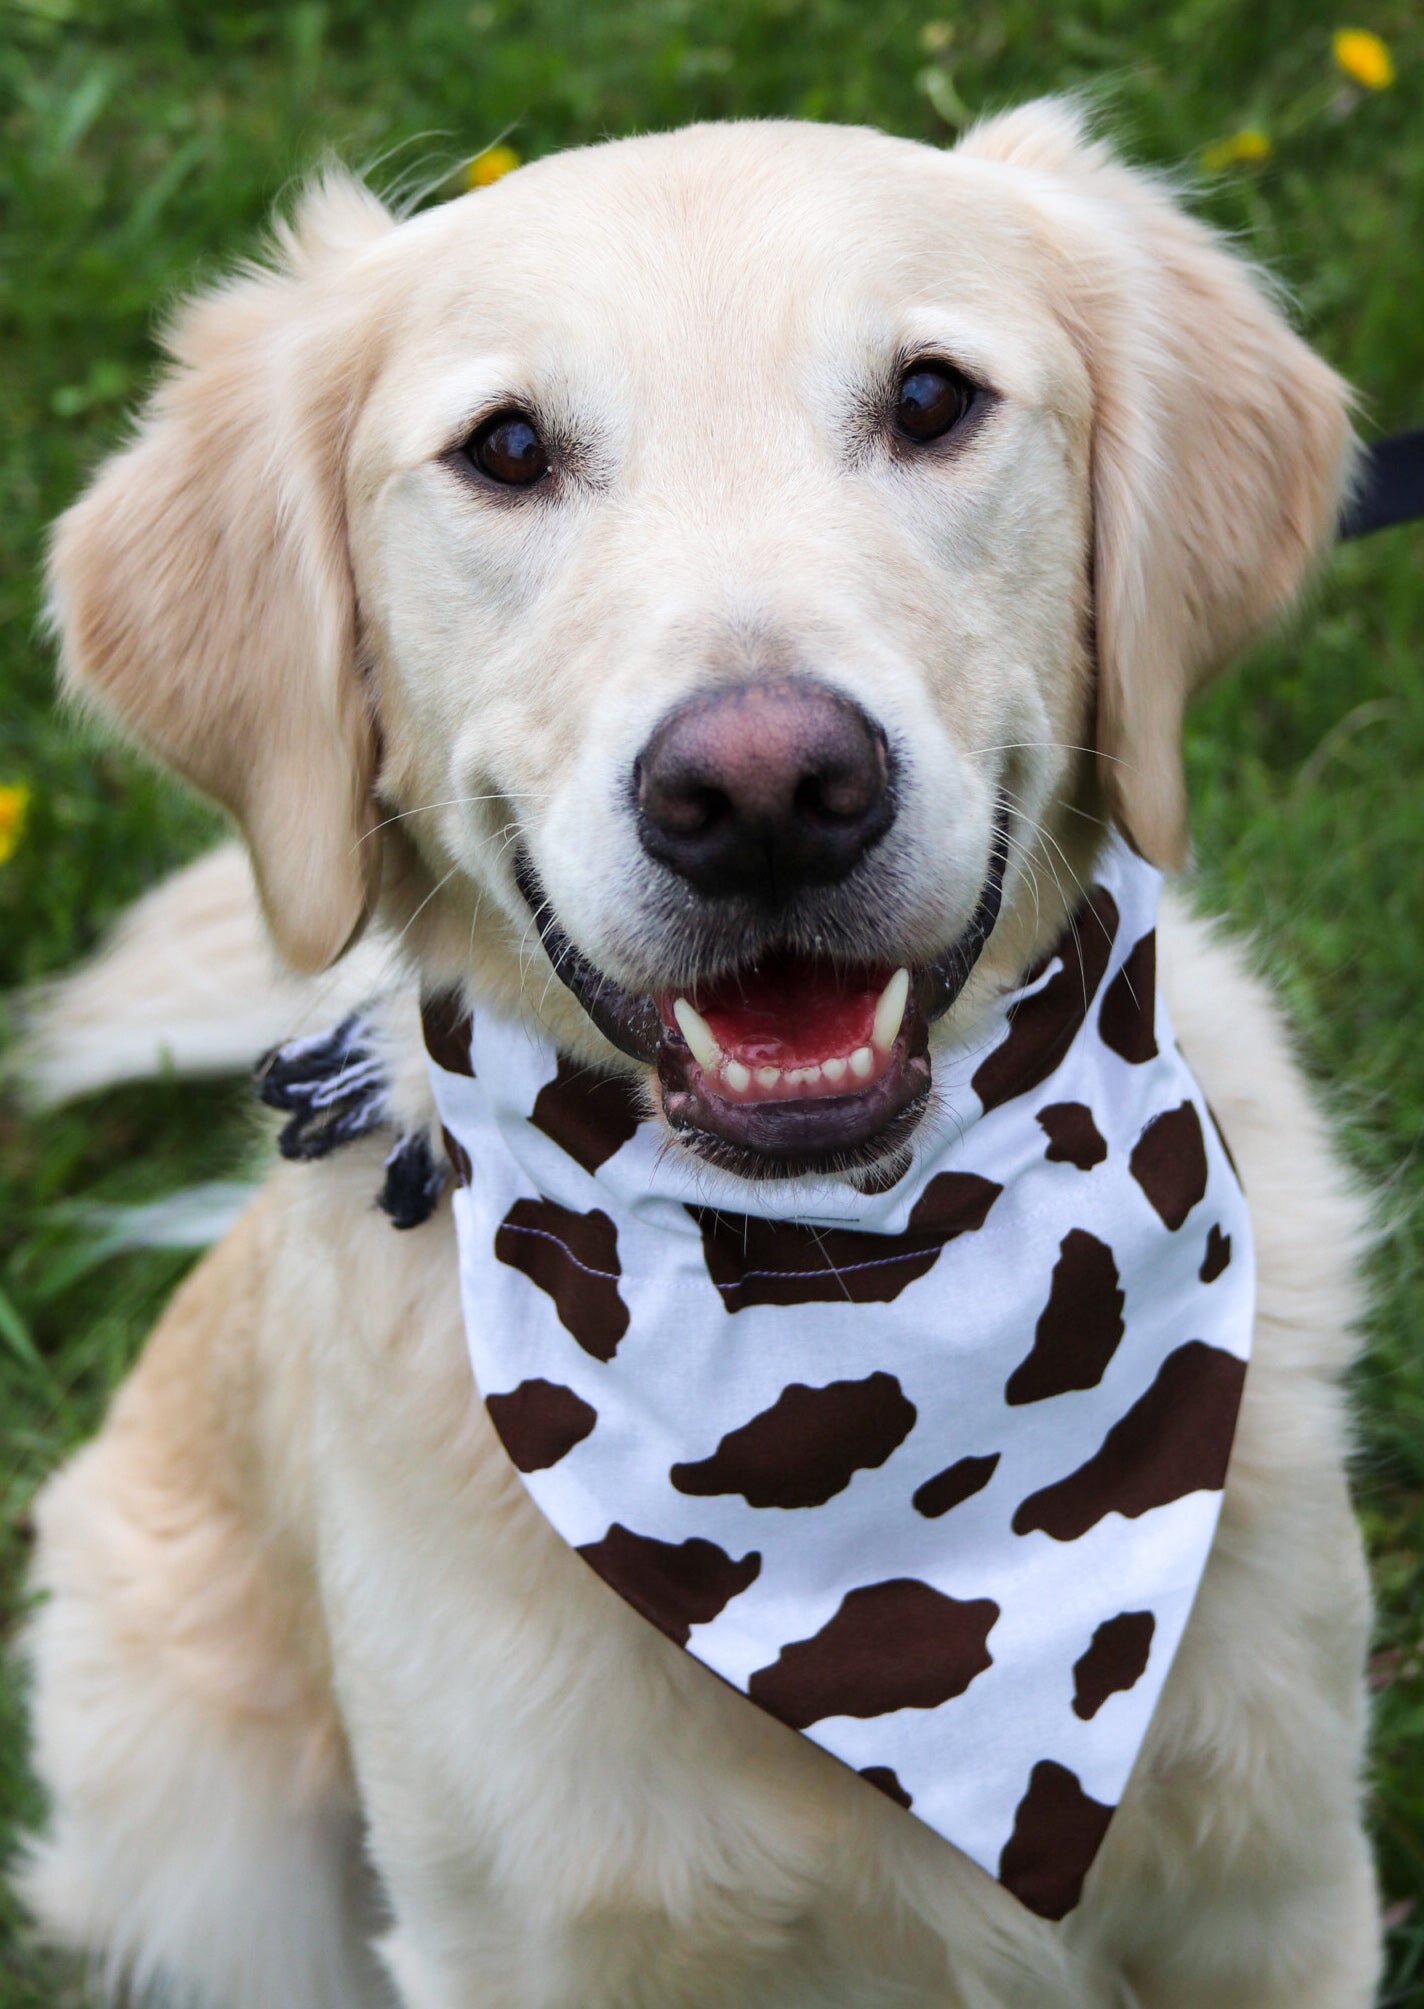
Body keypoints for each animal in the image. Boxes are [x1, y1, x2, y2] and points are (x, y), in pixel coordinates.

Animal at [16, 101, 1381, 2000]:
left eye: (931, 397)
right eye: (507, 446)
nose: (762, 795)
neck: (834, 1271)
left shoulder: (1281, 1882)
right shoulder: (516, 1936)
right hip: (208, 1832)